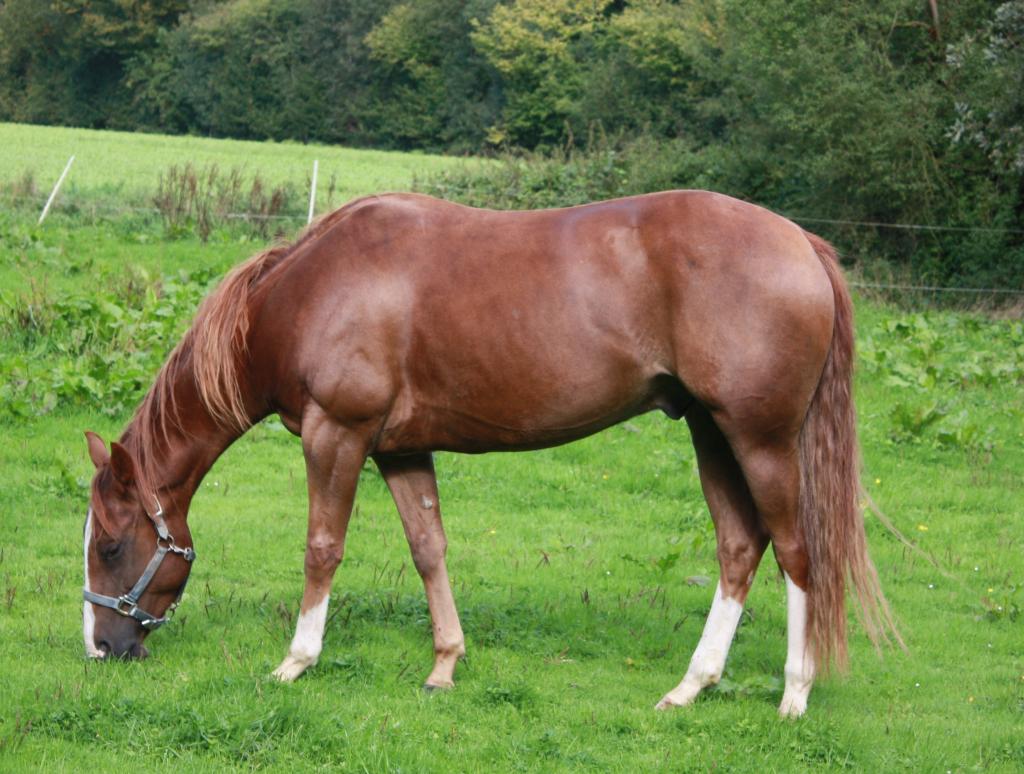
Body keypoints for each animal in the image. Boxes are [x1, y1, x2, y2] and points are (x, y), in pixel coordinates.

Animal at [82, 190, 899, 717]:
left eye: (113, 547)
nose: (100, 648)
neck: (307, 292)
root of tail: (802, 242)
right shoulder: (401, 449)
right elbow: (429, 549)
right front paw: (444, 665)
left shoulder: (336, 433)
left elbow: (322, 548)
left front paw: (295, 661)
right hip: (710, 432)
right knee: (739, 547)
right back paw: (691, 687)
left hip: (759, 439)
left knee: (796, 551)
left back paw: (794, 694)